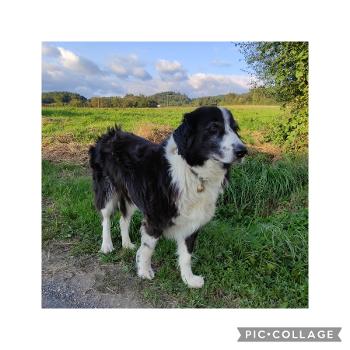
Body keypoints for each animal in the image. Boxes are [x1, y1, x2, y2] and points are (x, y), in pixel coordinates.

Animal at [89, 106, 247, 288]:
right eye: (213, 128)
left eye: (235, 129)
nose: (243, 151)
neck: (192, 171)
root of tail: (108, 134)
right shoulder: (155, 217)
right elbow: (148, 248)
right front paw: (144, 271)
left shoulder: (192, 219)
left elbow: (186, 255)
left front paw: (188, 279)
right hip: (107, 190)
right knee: (106, 218)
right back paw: (107, 245)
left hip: (131, 195)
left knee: (123, 219)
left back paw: (127, 244)